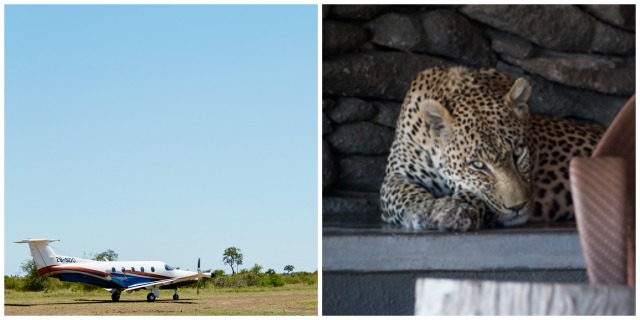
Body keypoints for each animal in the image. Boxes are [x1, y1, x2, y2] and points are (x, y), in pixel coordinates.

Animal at [380, 66, 604, 231]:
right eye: (477, 165)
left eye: (518, 153)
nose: (518, 207)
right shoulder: (396, 176)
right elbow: (405, 193)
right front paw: (426, 209)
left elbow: (477, 195)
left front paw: (455, 210)